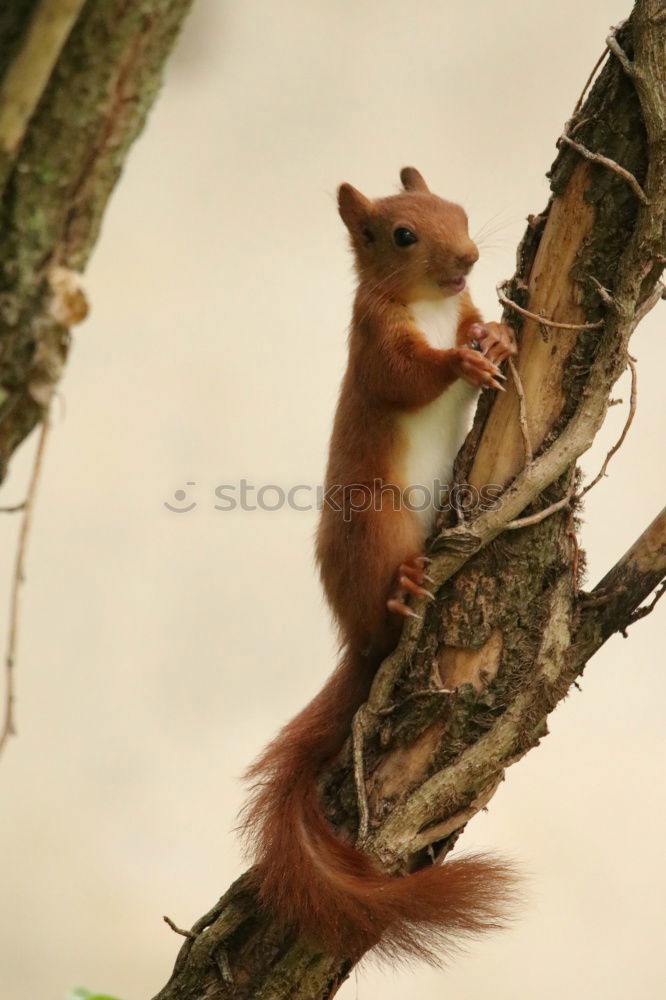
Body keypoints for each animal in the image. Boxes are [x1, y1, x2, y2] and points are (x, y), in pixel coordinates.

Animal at [241, 168, 516, 964]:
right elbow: (403, 377)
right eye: (401, 235)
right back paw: (402, 591)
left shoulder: (458, 306)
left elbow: (476, 322)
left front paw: (497, 334)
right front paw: (459, 362)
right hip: (373, 525)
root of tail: (358, 645)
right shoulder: (372, 342)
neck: (431, 305)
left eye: (459, 209)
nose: (470, 256)